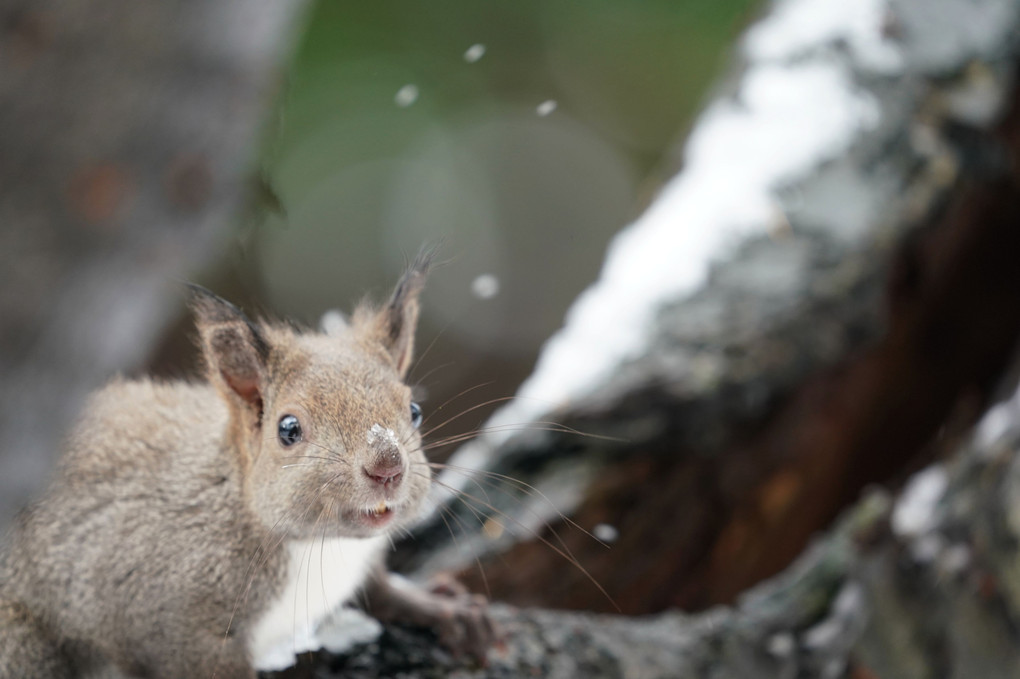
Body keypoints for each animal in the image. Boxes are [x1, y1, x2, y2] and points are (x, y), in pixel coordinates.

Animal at [0, 254, 493, 676]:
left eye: (414, 410)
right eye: (288, 429)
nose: (387, 467)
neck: (320, 546)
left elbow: (379, 589)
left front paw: (440, 608)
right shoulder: (173, 619)